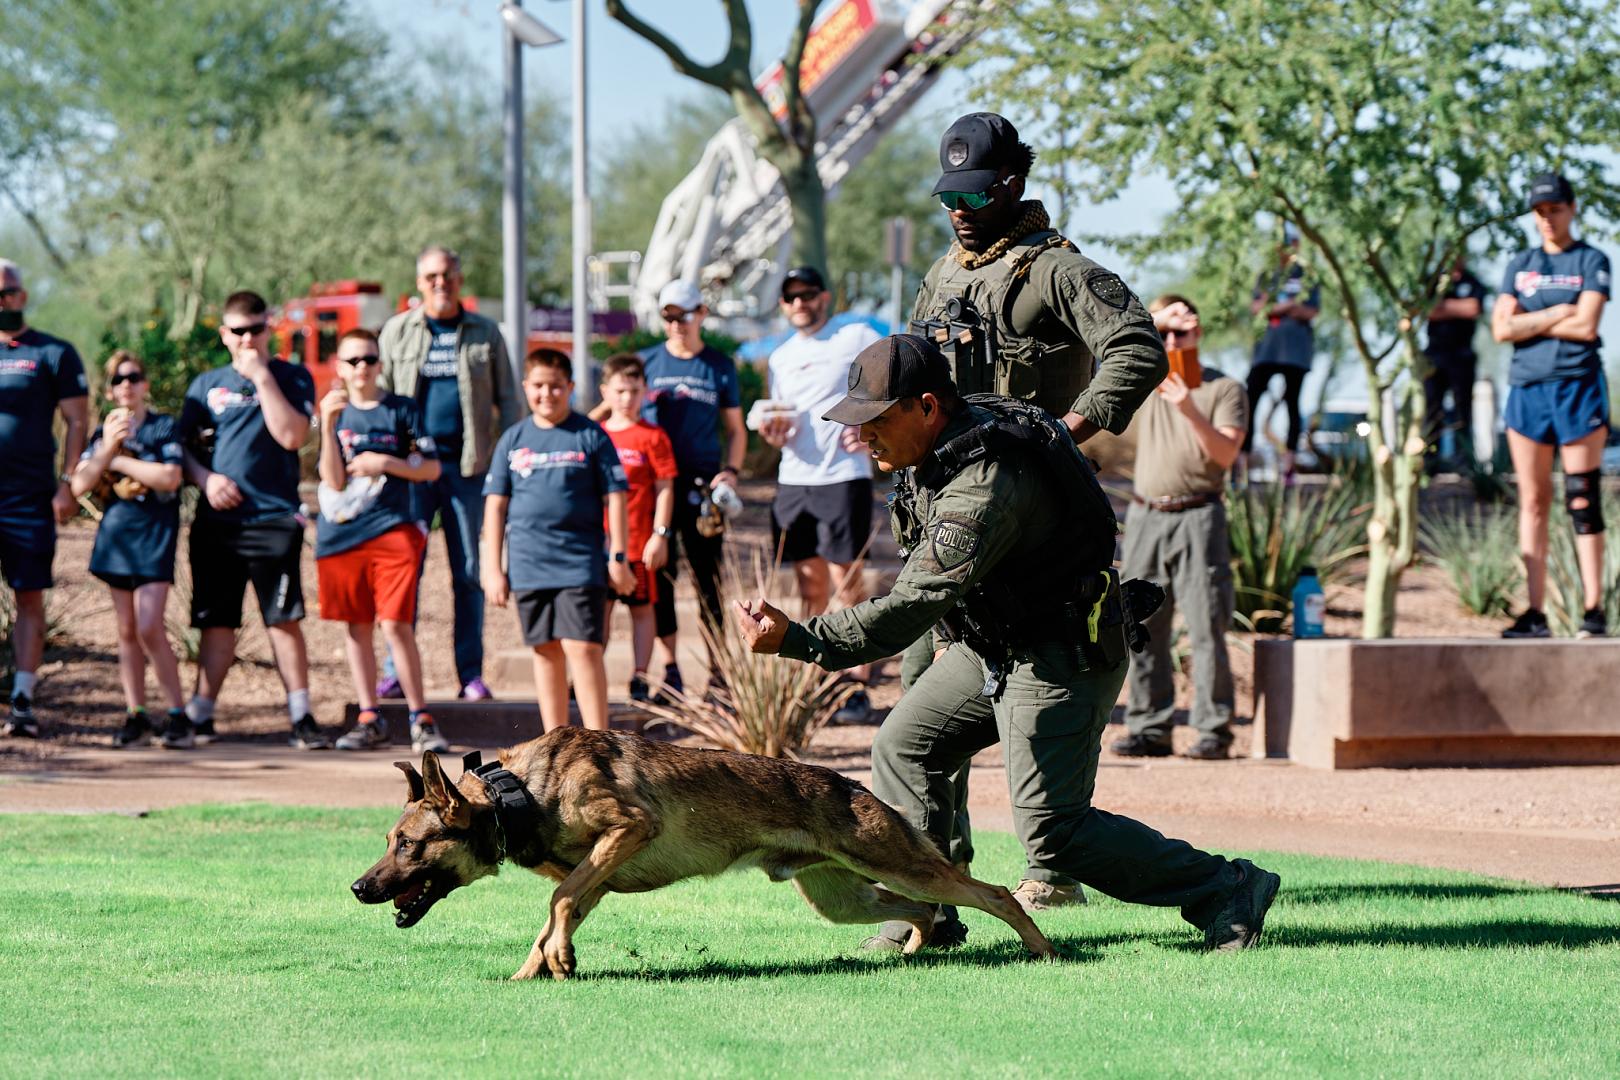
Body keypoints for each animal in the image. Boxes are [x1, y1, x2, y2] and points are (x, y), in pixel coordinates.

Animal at [353, 725, 1056, 977]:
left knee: (992, 894)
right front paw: (535, 972)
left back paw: (1043, 950)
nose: (358, 888)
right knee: (918, 913)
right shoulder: (596, 878)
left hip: (898, 865)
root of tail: (851, 784)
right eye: (391, 842)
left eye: (410, 844)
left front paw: (556, 960)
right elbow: (557, 912)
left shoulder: (628, 830)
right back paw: (910, 954)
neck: (517, 792)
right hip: (846, 896)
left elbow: (556, 901)